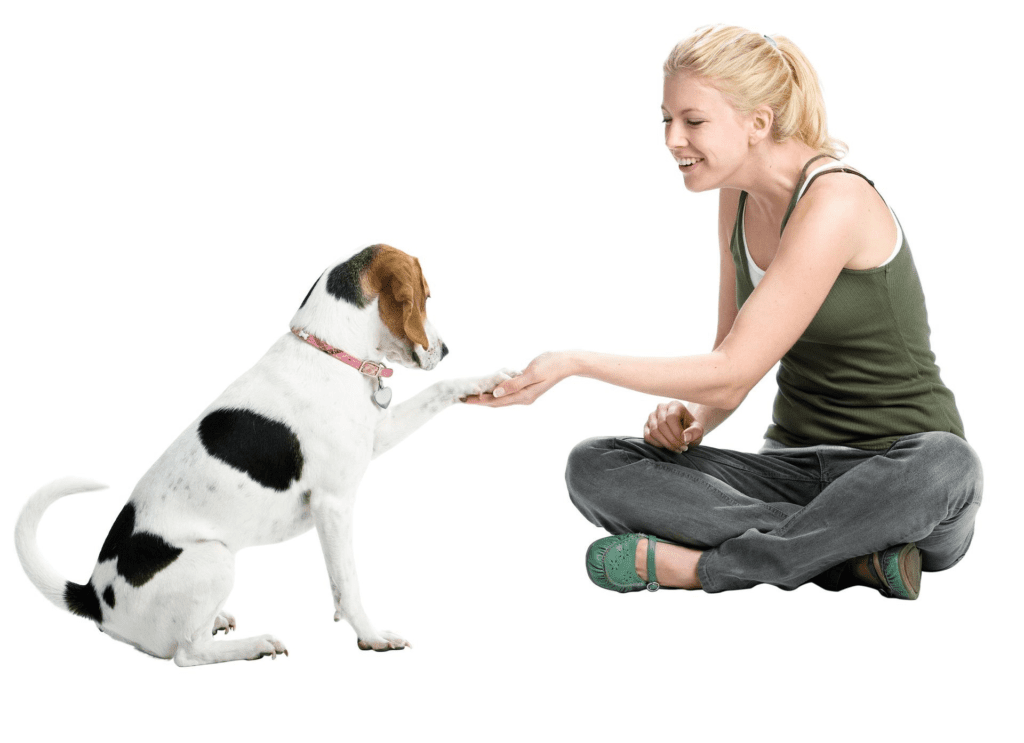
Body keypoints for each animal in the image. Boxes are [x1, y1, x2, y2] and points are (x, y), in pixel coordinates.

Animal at [12, 245, 516, 671]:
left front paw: (490, 380)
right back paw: (254, 645)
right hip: (216, 560)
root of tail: (93, 595)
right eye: (426, 297)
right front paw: (372, 636)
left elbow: (440, 391)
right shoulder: (334, 504)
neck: (330, 351)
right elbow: (348, 585)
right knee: (186, 655)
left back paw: (220, 621)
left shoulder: (377, 436)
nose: (446, 350)